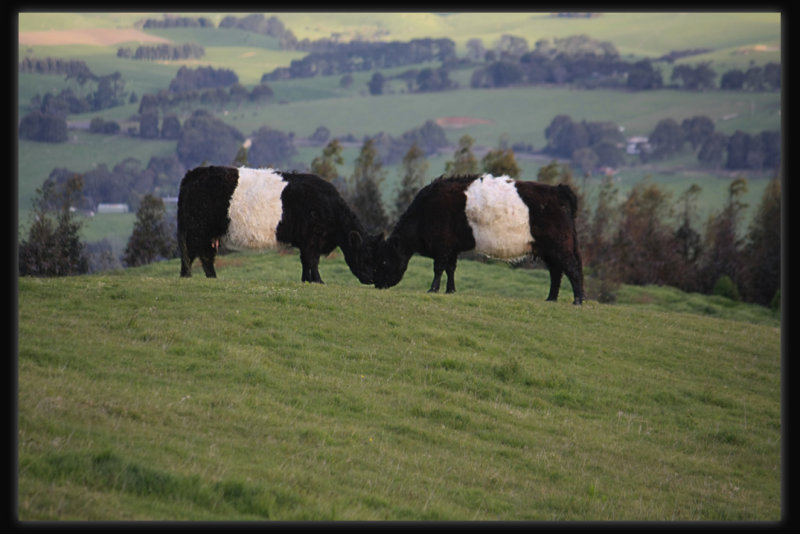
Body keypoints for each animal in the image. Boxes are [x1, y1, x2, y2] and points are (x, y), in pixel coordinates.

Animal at [178, 166, 378, 284]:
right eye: (366, 256)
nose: (372, 280)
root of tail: (194, 172)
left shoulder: (307, 242)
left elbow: (306, 262)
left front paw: (306, 281)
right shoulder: (312, 240)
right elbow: (312, 261)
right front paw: (319, 282)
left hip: (209, 235)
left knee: (206, 257)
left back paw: (212, 278)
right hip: (197, 230)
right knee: (190, 254)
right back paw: (187, 276)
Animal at [372, 175, 584, 306]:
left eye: (384, 261)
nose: (378, 285)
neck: (425, 211)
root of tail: (560, 190)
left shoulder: (442, 247)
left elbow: (438, 269)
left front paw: (433, 289)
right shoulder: (452, 249)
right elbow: (450, 269)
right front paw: (450, 290)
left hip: (560, 247)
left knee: (572, 269)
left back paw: (578, 300)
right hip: (550, 251)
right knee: (556, 273)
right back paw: (551, 298)